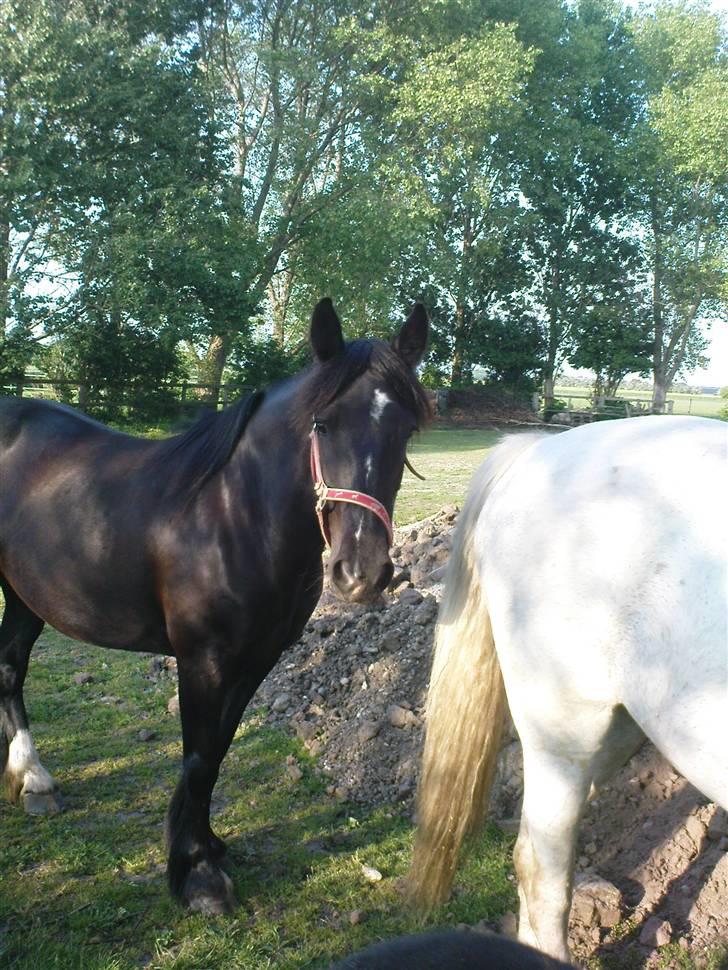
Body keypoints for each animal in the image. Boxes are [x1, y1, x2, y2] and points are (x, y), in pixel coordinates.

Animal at [0, 297, 430, 914]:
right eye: (323, 424)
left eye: (407, 430)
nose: (361, 573)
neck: (234, 516)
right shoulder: (203, 659)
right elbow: (200, 757)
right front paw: (198, 874)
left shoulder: (257, 658)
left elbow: (218, 750)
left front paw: (207, 846)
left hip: (24, 594)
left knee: (10, 668)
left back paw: (32, 779)